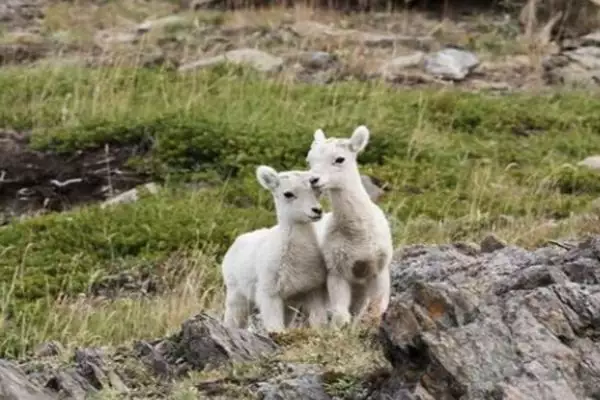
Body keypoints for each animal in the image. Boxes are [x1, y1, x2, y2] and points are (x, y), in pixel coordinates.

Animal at [223, 164, 330, 332]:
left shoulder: (314, 290)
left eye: (317, 191)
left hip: (287, 305)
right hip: (236, 292)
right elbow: (275, 326)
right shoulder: (269, 292)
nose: (317, 211)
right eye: (288, 194)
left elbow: (318, 321)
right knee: (233, 318)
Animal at [304, 125, 394, 328]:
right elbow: (340, 317)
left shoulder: (379, 270)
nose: (313, 180)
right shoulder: (336, 272)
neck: (357, 234)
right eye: (310, 160)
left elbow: (375, 311)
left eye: (340, 159)